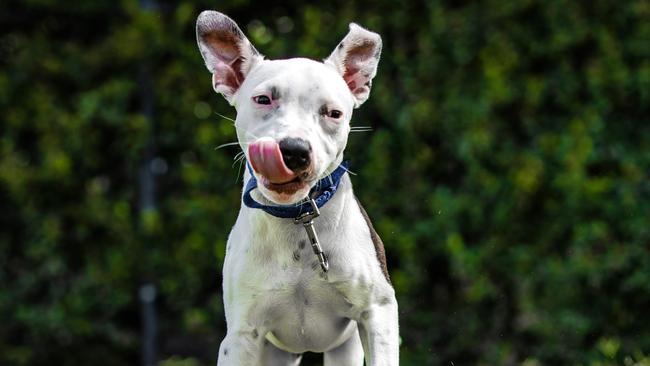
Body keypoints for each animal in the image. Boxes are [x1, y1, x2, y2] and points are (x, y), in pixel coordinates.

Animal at [195, 10, 398, 364]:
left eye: (334, 113)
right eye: (263, 99)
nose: (293, 149)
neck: (299, 218)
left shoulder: (378, 312)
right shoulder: (241, 337)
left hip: (344, 349)